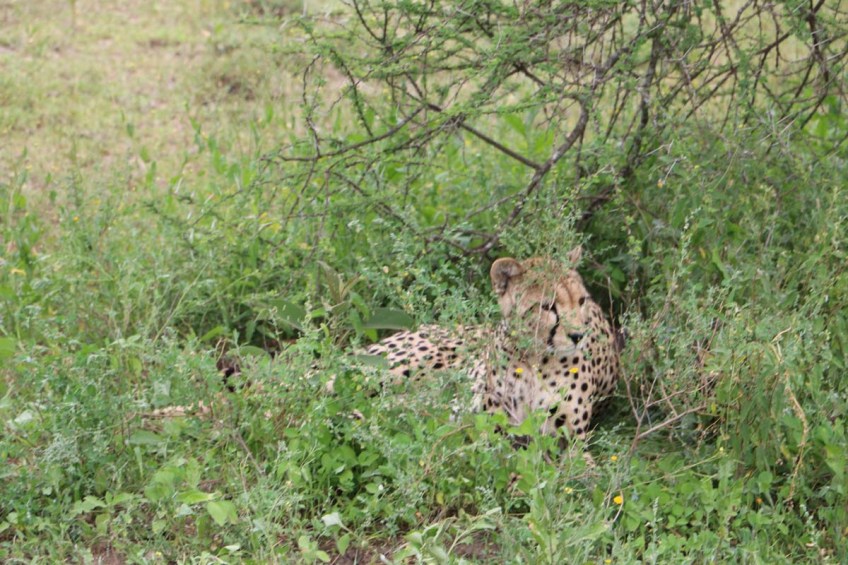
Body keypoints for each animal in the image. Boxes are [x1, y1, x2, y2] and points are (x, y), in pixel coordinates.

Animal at [363, 246, 621, 443]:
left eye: (581, 301)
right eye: (548, 307)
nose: (578, 335)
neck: (534, 357)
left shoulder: (569, 439)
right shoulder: (494, 420)